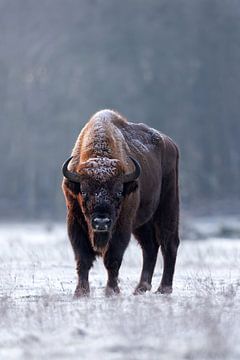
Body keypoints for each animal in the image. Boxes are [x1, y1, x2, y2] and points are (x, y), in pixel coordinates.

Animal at [62, 111, 180, 296]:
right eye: (84, 192)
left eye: (118, 193)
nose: (101, 222)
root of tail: (171, 144)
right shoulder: (75, 221)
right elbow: (83, 258)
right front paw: (81, 292)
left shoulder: (122, 224)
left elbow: (113, 258)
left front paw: (111, 291)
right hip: (143, 222)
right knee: (150, 246)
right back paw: (141, 288)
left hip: (168, 205)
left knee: (169, 243)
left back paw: (164, 288)